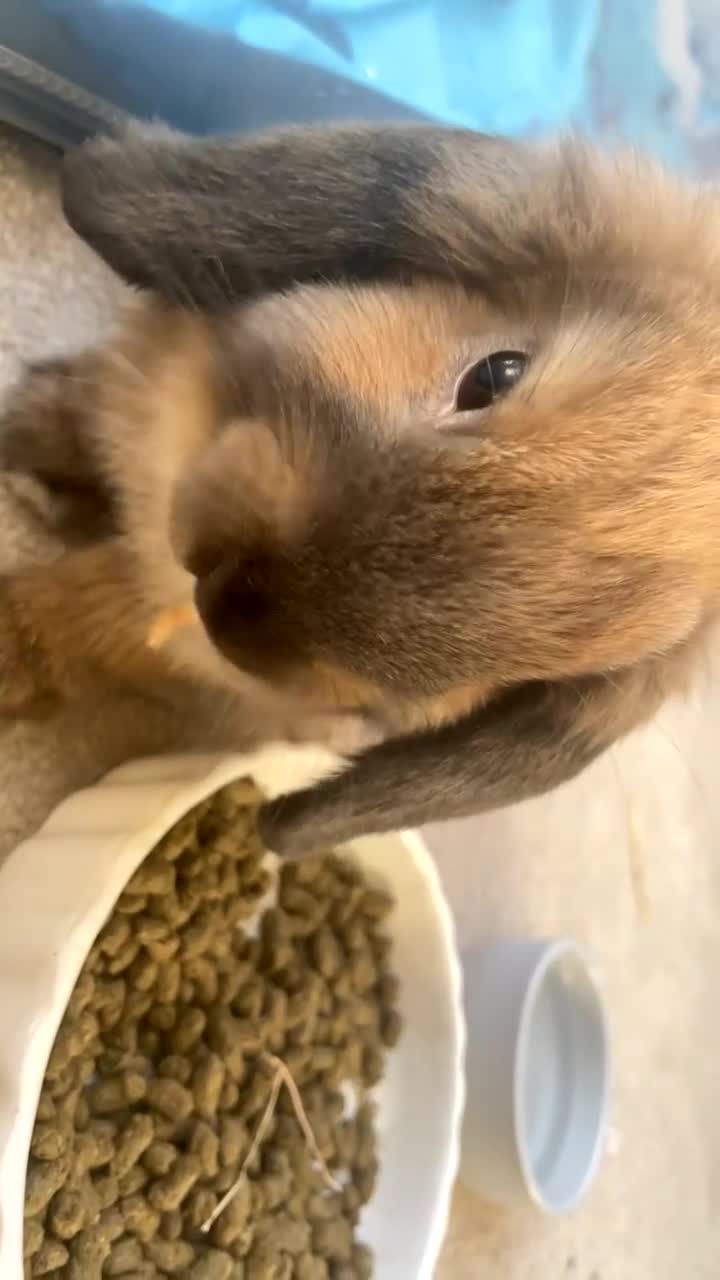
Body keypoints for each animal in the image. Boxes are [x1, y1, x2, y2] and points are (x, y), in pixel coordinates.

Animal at [1, 121, 715, 856]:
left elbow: (75, 615)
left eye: (530, 672)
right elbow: (70, 425)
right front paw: (23, 443)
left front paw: (6, 658)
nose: (227, 601)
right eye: (495, 373)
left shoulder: (155, 630)